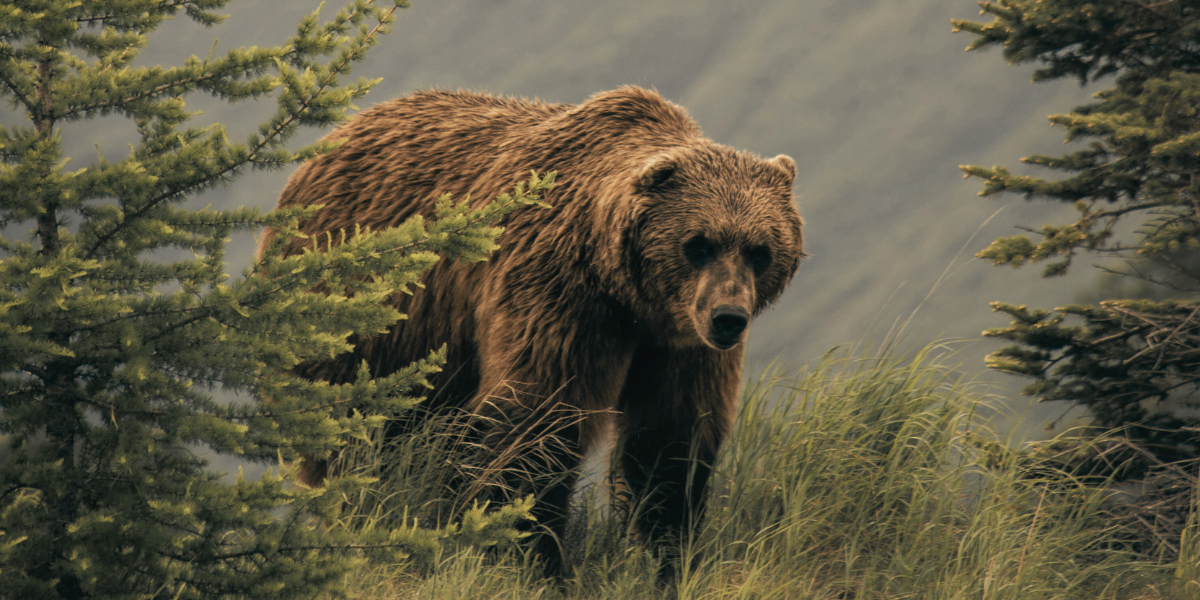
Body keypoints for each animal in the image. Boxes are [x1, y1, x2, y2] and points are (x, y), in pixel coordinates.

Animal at [260, 86, 805, 575]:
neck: (626, 295)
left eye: (760, 250)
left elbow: (670, 439)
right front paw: (529, 557)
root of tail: (330, 141)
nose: (728, 317)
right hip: (364, 321)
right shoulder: (558, 295)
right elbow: (536, 423)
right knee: (361, 438)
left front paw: (666, 555)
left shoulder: (678, 343)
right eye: (698, 243)